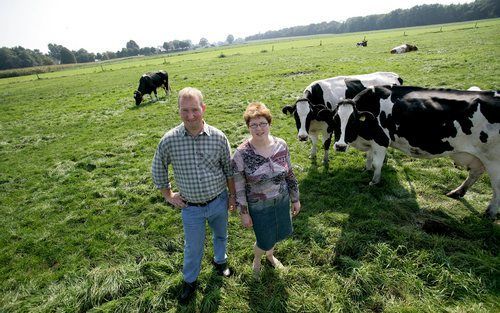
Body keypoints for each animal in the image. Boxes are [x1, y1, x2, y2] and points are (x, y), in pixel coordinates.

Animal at [332, 84, 500, 217]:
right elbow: (368, 158)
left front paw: (374, 181)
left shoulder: (381, 140)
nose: (339, 146)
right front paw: (366, 170)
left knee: (496, 186)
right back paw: (457, 192)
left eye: (353, 121)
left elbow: (376, 164)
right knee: (475, 172)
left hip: (493, 159)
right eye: (335, 120)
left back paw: (490, 212)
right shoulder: (372, 140)